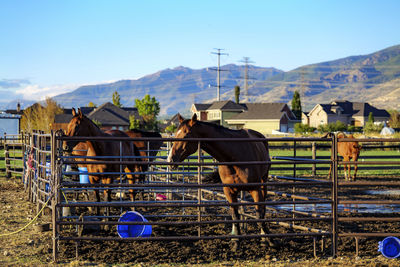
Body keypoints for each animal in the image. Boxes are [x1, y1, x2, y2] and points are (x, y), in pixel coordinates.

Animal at [166, 114, 276, 248]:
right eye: (176, 135)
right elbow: (235, 215)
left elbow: (259, 215)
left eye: (186, 135)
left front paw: (269, 239)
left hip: (263, 181)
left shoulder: (255, 189)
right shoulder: (228, 191)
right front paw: (236, 241)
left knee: (263, 207)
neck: (233, 157)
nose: (170, 159)